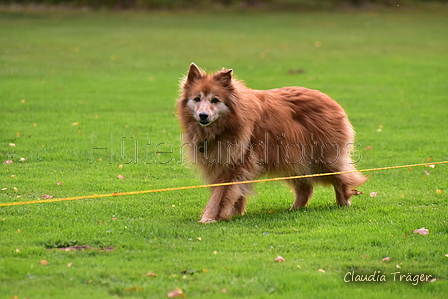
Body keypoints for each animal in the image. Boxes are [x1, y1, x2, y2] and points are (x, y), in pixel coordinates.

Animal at [177, 62, 366, 223]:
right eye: (197, 99)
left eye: (215, 100)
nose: (203, 116)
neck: (226, 125)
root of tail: (330, 100)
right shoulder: (230, 166)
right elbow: (235, 192)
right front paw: (234, 212)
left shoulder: (233, 165)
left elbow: (220, 194)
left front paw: (209, 217)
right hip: (294, 160)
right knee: (305, 188)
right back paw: (295, 208)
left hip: (322, 158)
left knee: (342, 177)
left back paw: (343, 201)